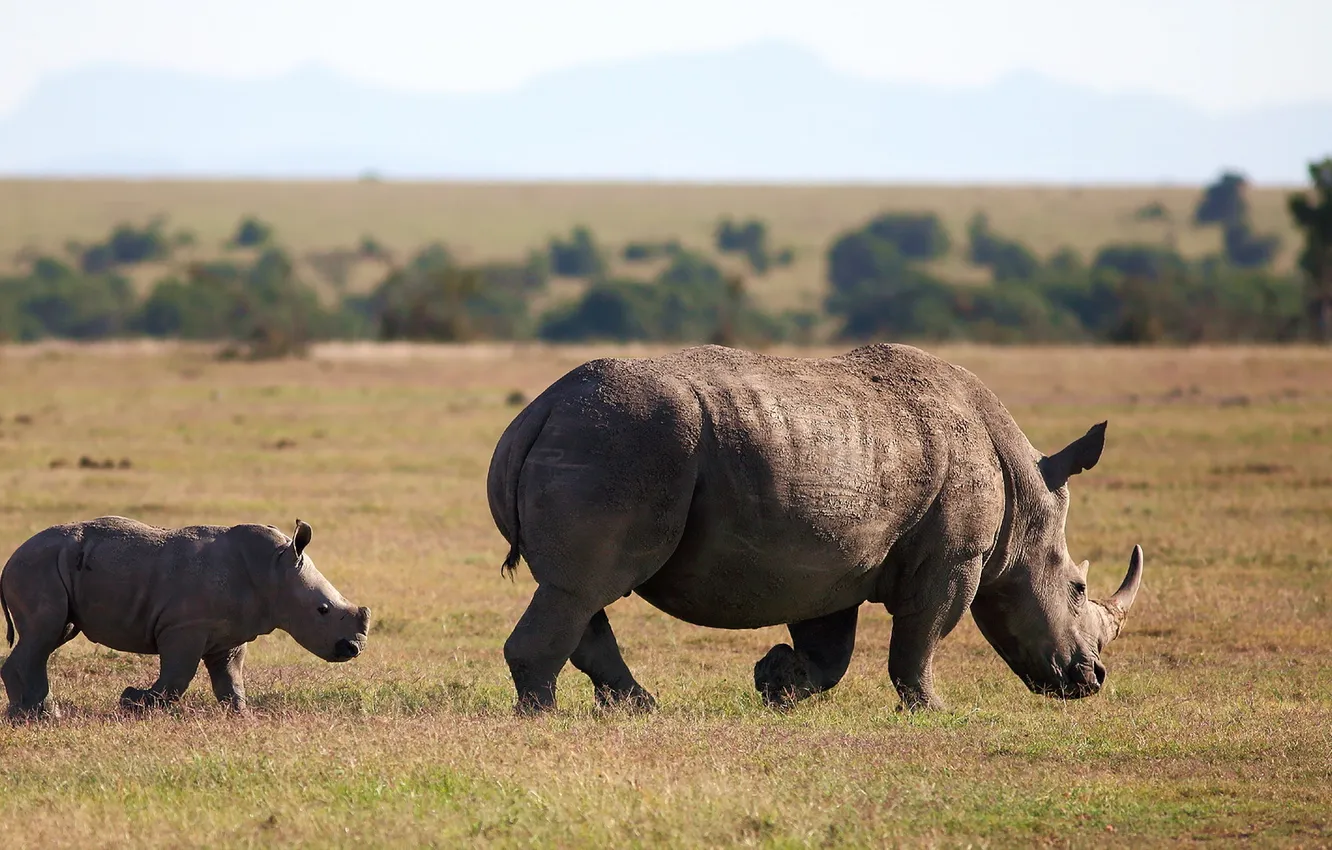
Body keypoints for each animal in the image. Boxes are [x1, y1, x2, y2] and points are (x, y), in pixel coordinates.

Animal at [1, 516, 370, 724]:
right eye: (322, 610)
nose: (353, 649)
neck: (274, 570)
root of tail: (10, 559)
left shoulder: (228, 635)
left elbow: (230, 679)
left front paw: (242, 717)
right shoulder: (184, 627)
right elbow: (178, 676)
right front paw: (132, 702)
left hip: (50, 567)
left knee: (51, 635)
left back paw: (28, 713)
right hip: (37, 567)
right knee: (43, 634)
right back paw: (39, 716)